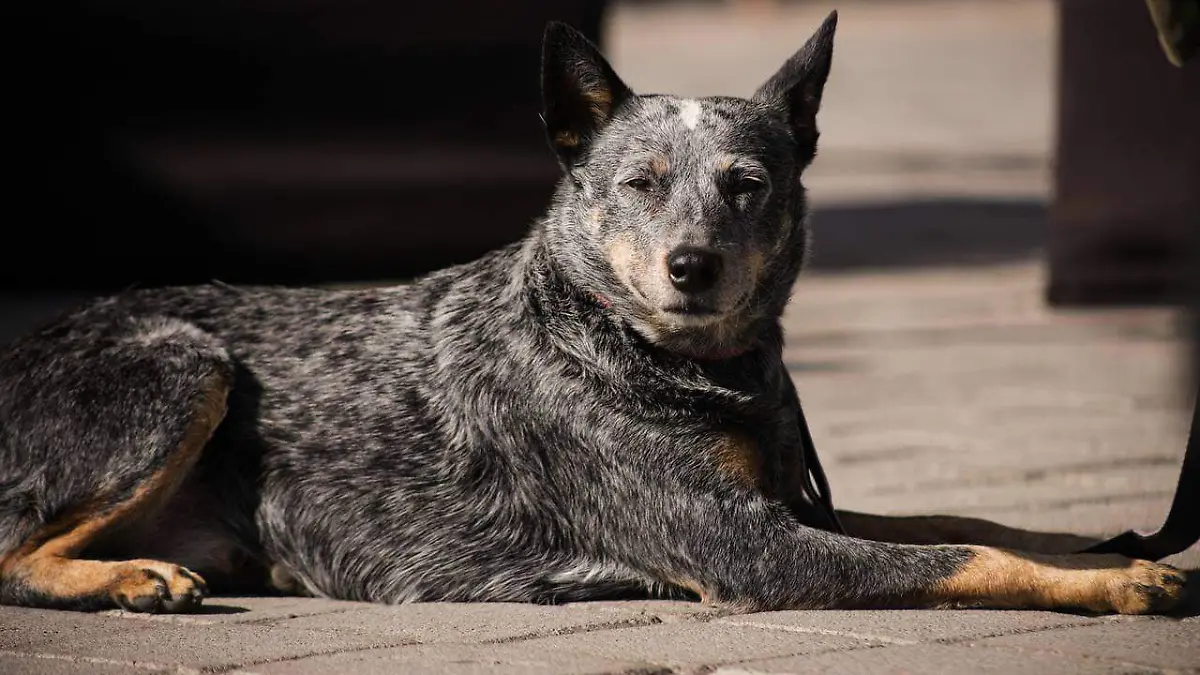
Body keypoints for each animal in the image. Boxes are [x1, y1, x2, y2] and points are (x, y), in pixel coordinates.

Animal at [0, 14, 1185, 614]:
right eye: (641, 182)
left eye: (748, 183)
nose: (692, 265)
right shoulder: (753, 553)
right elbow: (959, 557)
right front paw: (1112, 579)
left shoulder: (789, 505)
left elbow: (967, 521)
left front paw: (1102, 545)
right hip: (183, 362)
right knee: (14, 546)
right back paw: (124, 576)